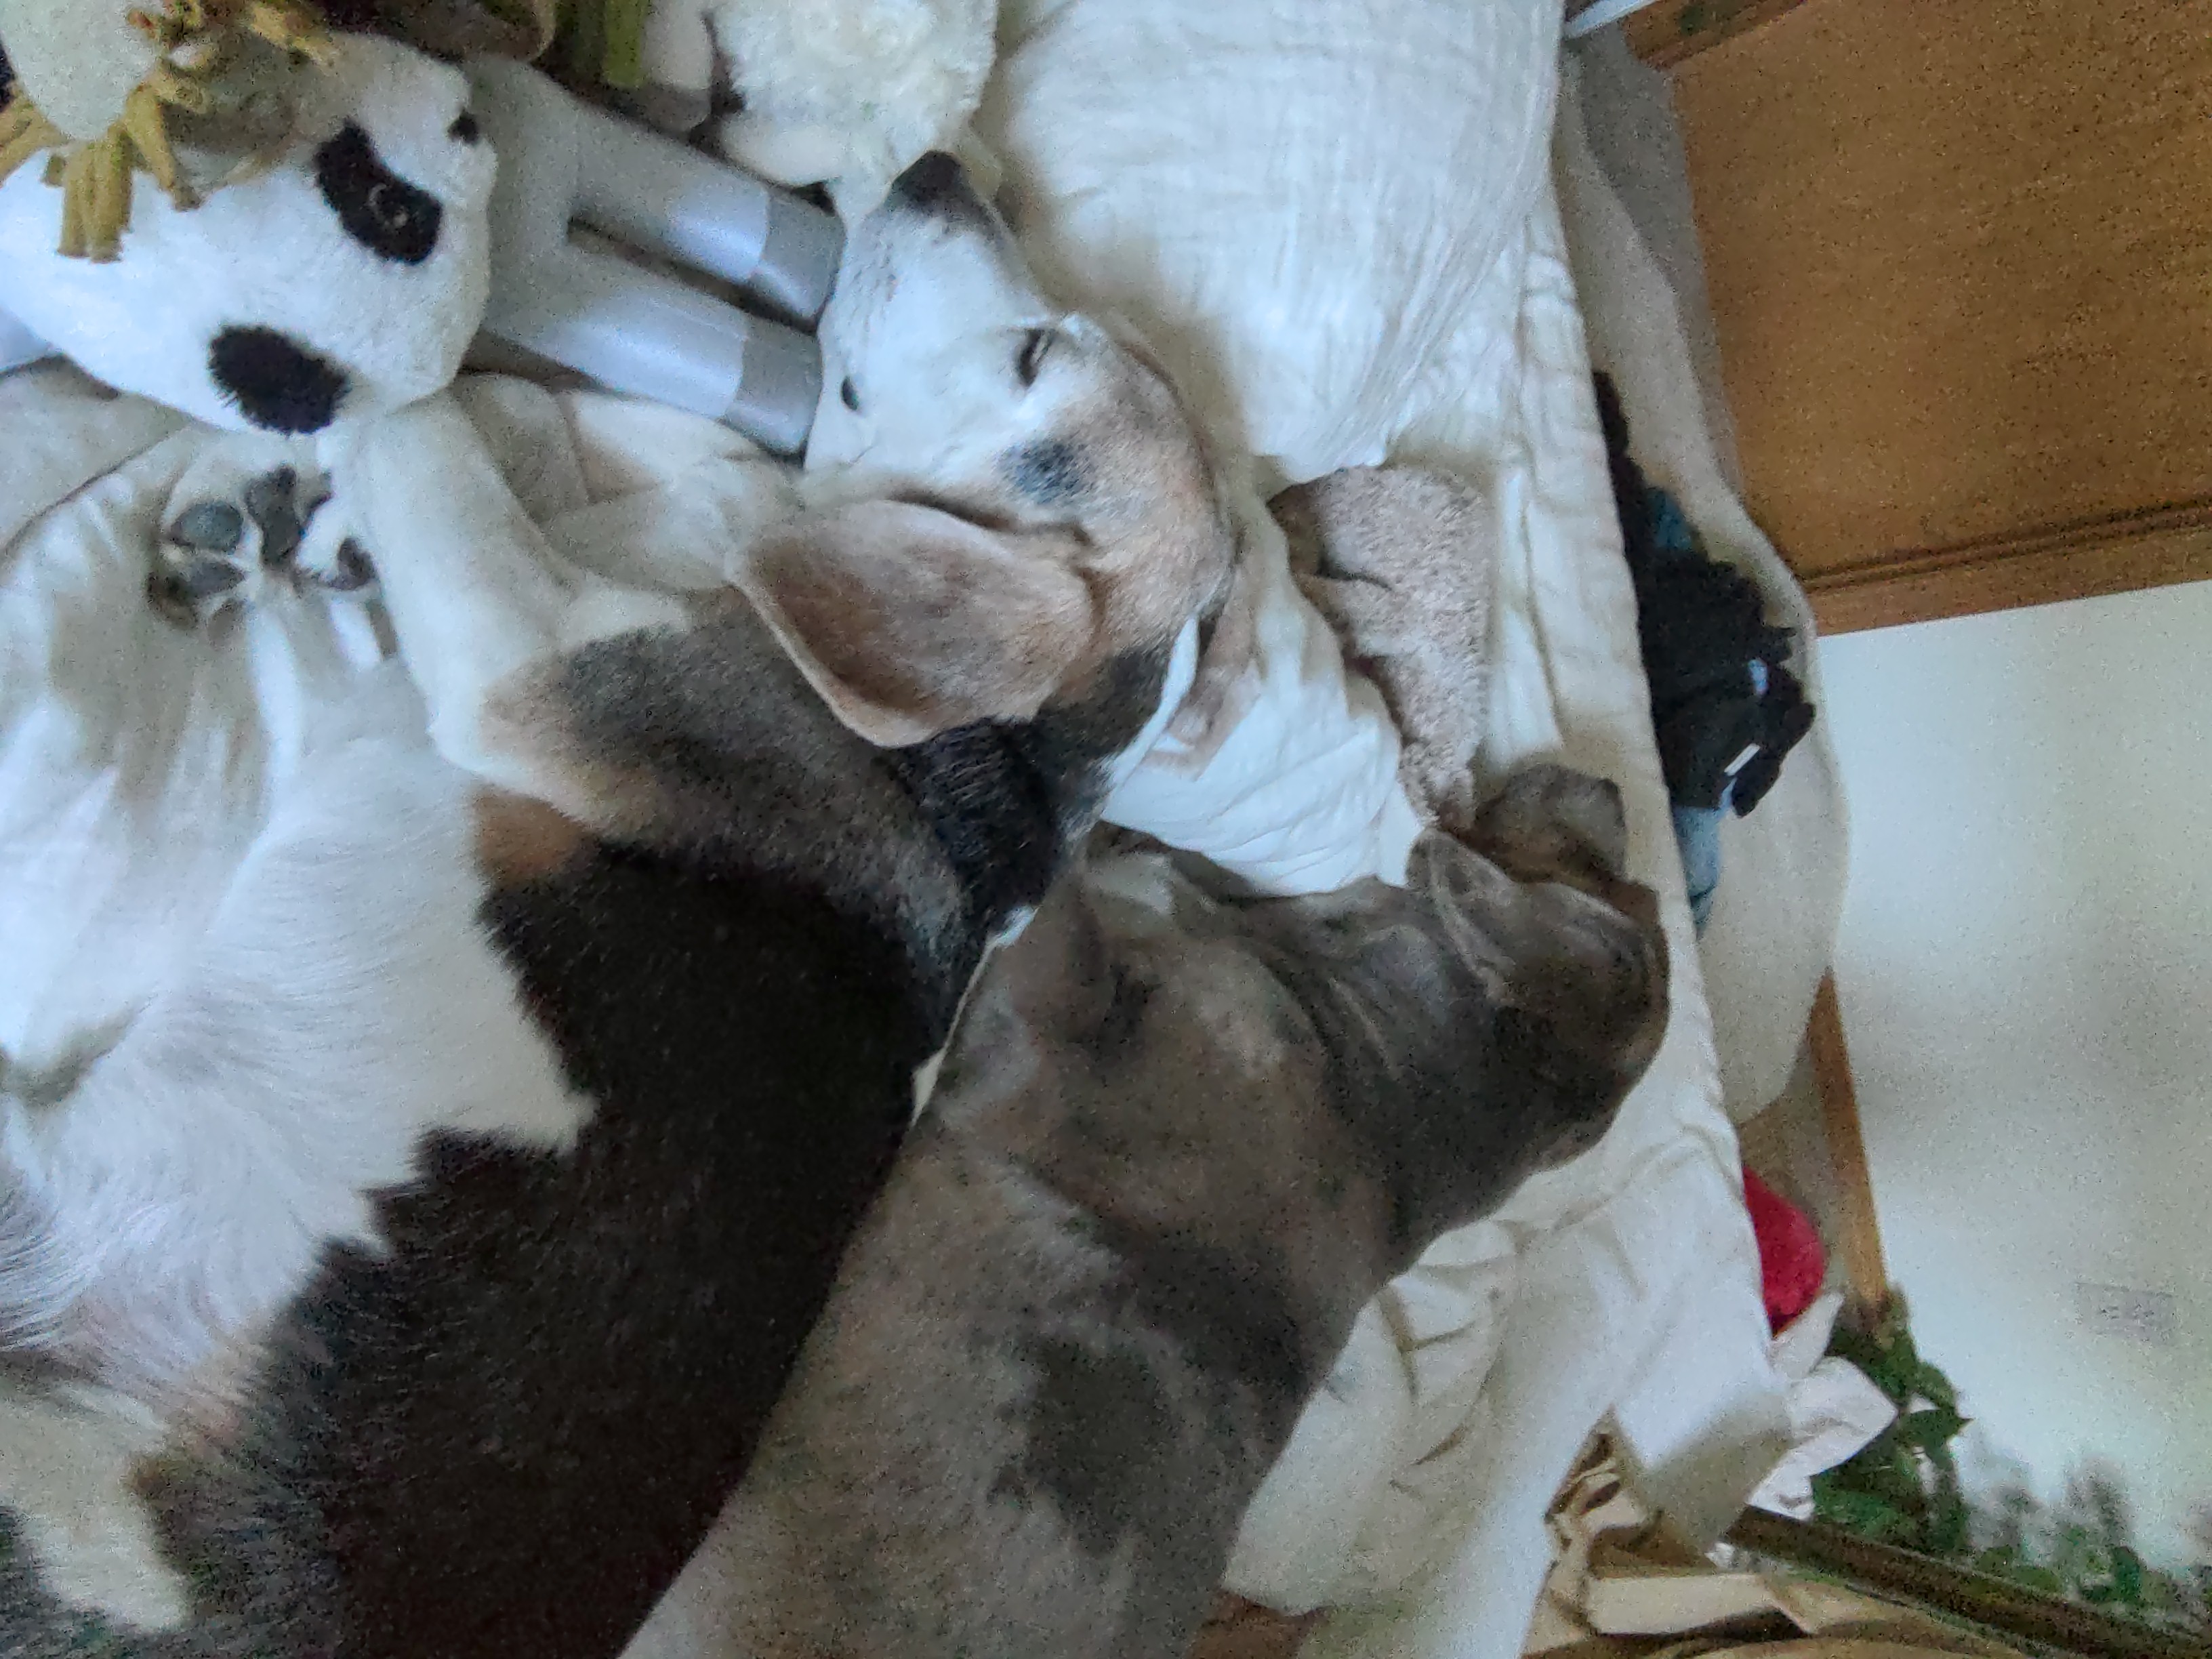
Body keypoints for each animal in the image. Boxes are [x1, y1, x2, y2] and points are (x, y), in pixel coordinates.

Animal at [0, 150, 1234, 1658]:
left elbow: (428, 423)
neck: (985, 767)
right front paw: (279, 493)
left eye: (1032, 357)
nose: (940, 167)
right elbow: (638, 440)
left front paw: (351, 382)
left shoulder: (519, 651)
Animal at [621, 764, 1669, 1659]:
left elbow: (1061, 887)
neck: (1381, 1061)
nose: (1609, 785)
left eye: (1599, 878)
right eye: (1630, 888)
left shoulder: (1039, 1021)